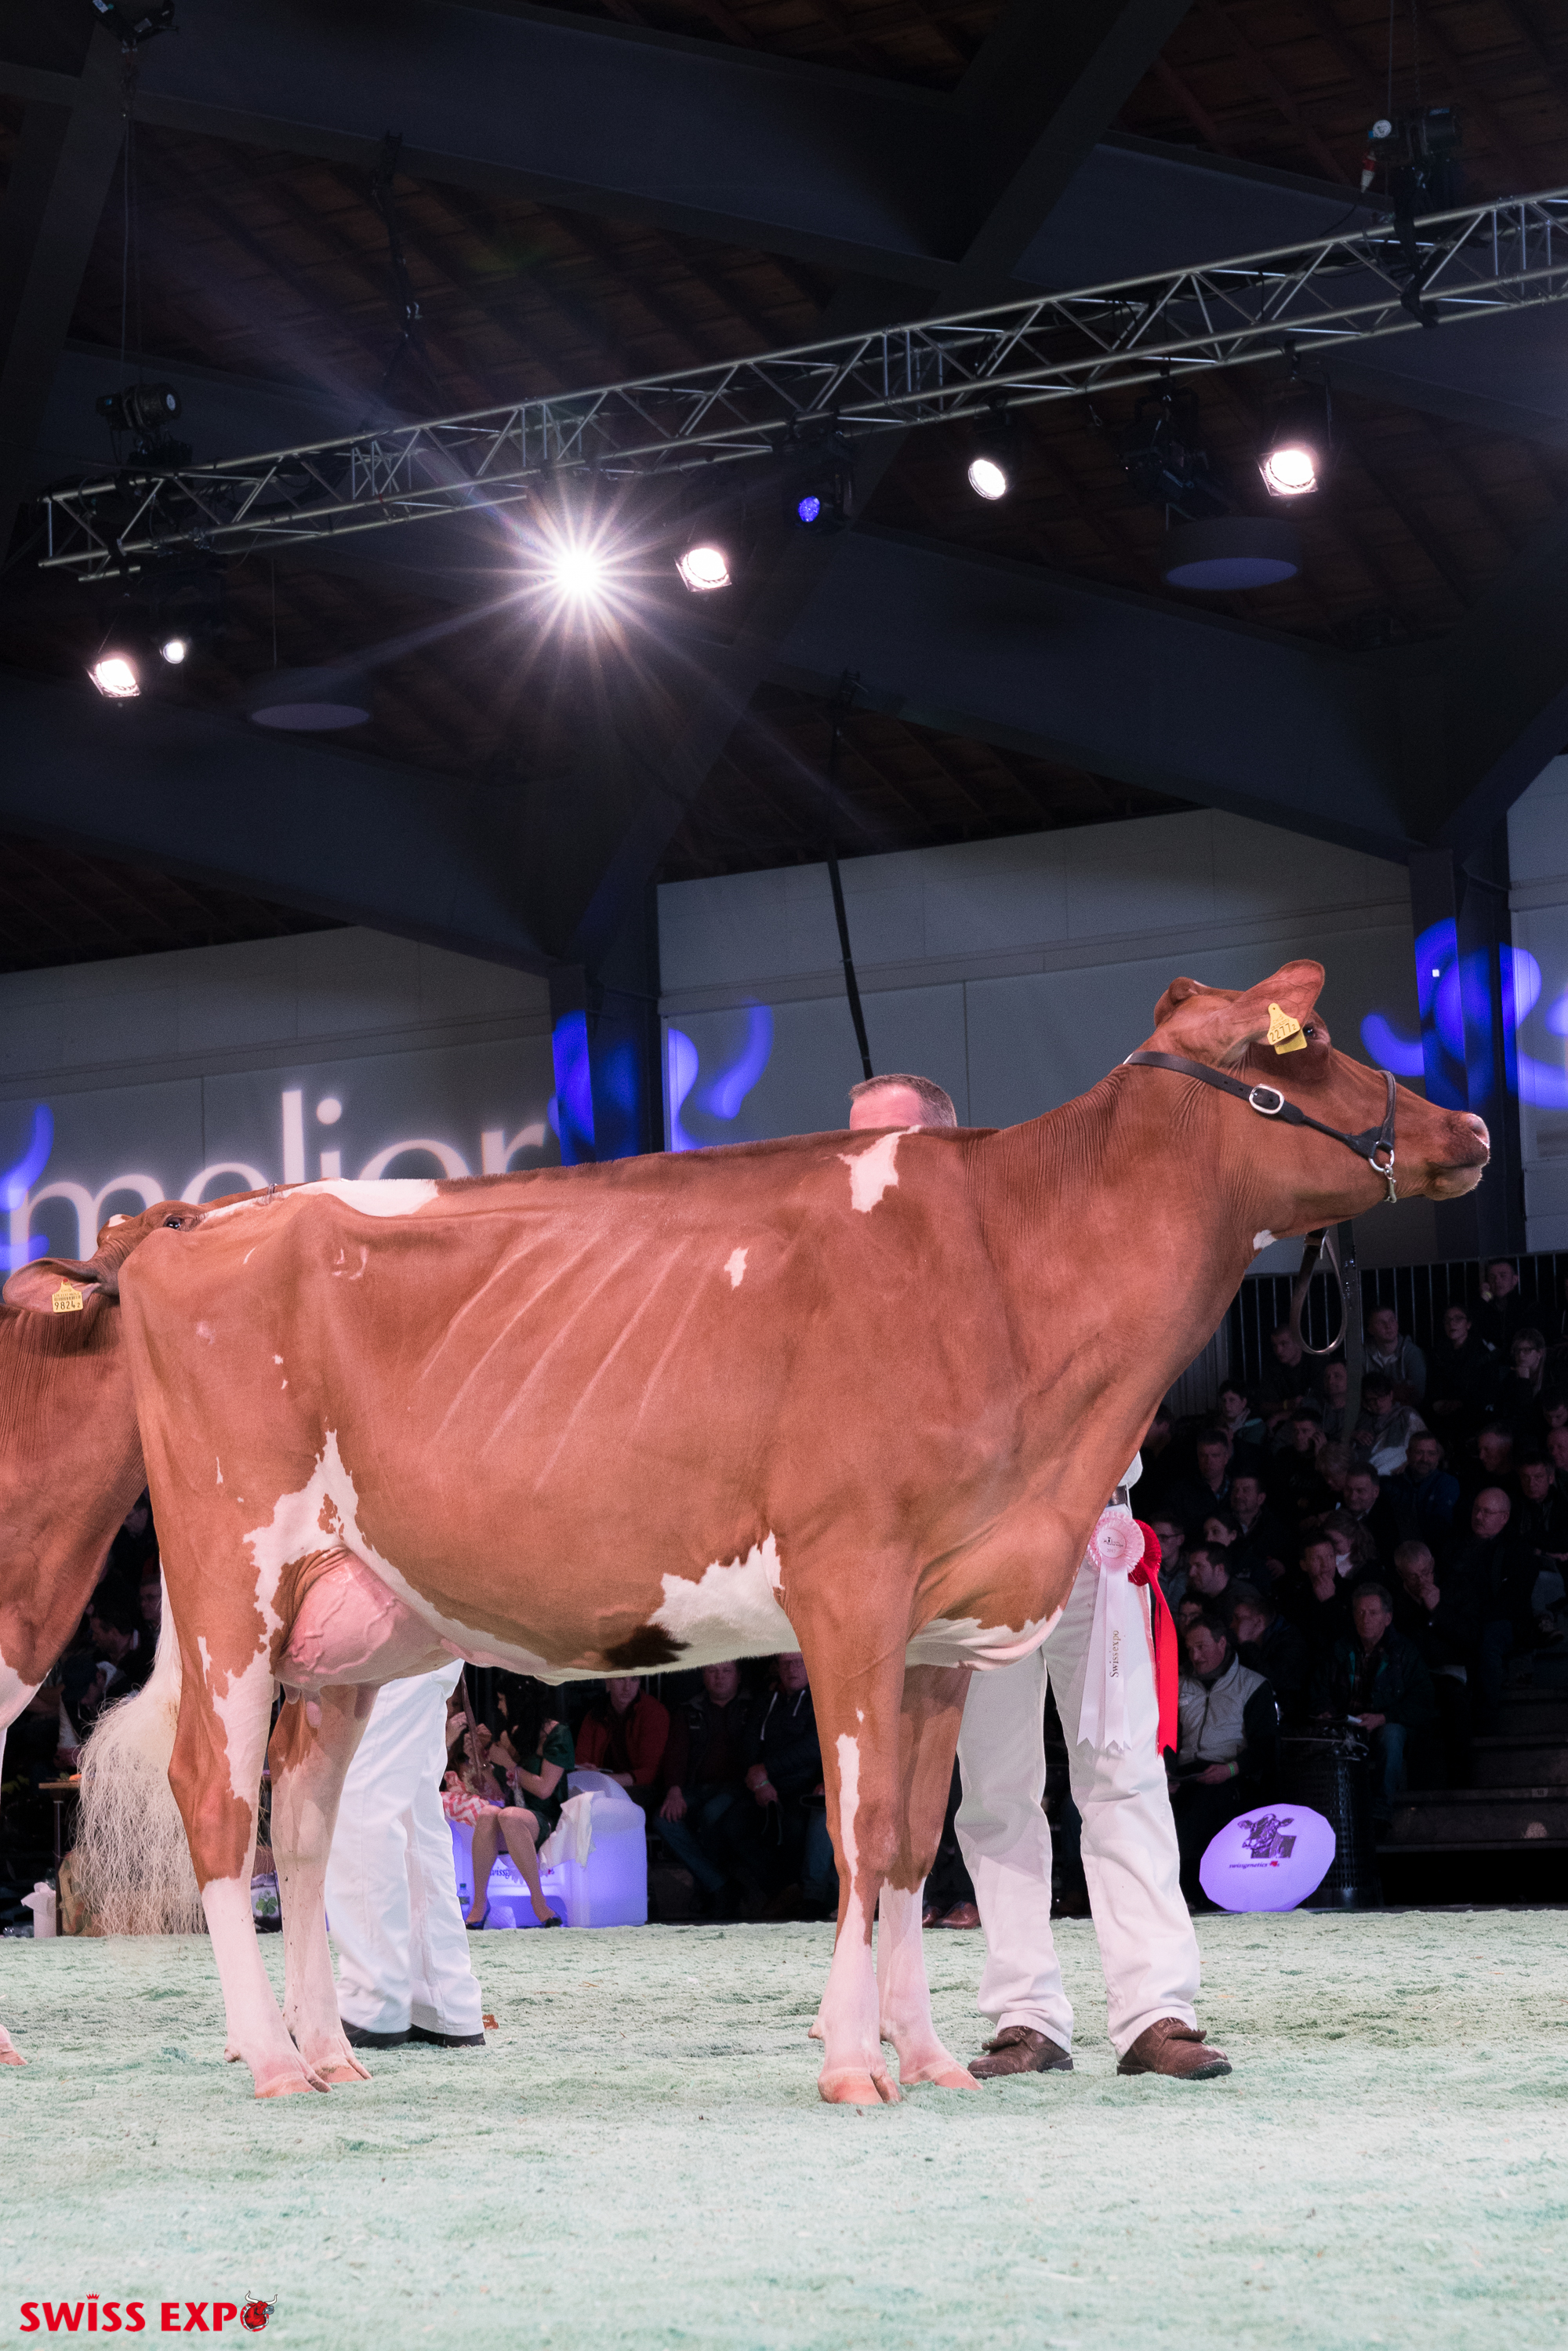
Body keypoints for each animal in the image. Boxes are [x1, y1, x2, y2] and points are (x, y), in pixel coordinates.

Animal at [0, 960, 1487, 2100]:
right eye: (1298, 1046)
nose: (1468, 1122)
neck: (1008, 1261)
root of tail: (186, 1221)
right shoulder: (851, 1579)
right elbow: (860, 1821)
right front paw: (852, 2060)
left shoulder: (942, 1621)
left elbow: (915, 1838)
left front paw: (930, 2055)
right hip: (229, 1582)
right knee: (214, 1795)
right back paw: (265, 2055)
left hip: (349, 1626)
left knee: (302, 1825)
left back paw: (330, 2052)